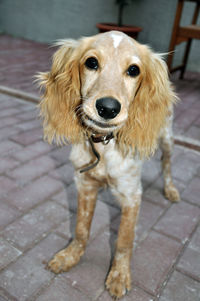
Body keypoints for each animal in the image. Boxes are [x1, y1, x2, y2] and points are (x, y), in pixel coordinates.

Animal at [38, 30, 180, 298]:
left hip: (166, 137)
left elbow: (124, 240)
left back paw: (170, 189)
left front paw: (119, 275)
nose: (108, 108)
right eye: (91, 62)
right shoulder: (84, 184)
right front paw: (70, 256)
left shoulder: (132, 196)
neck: (103, 146)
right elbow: (81, 229)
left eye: (134, 70)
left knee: (167, 164)